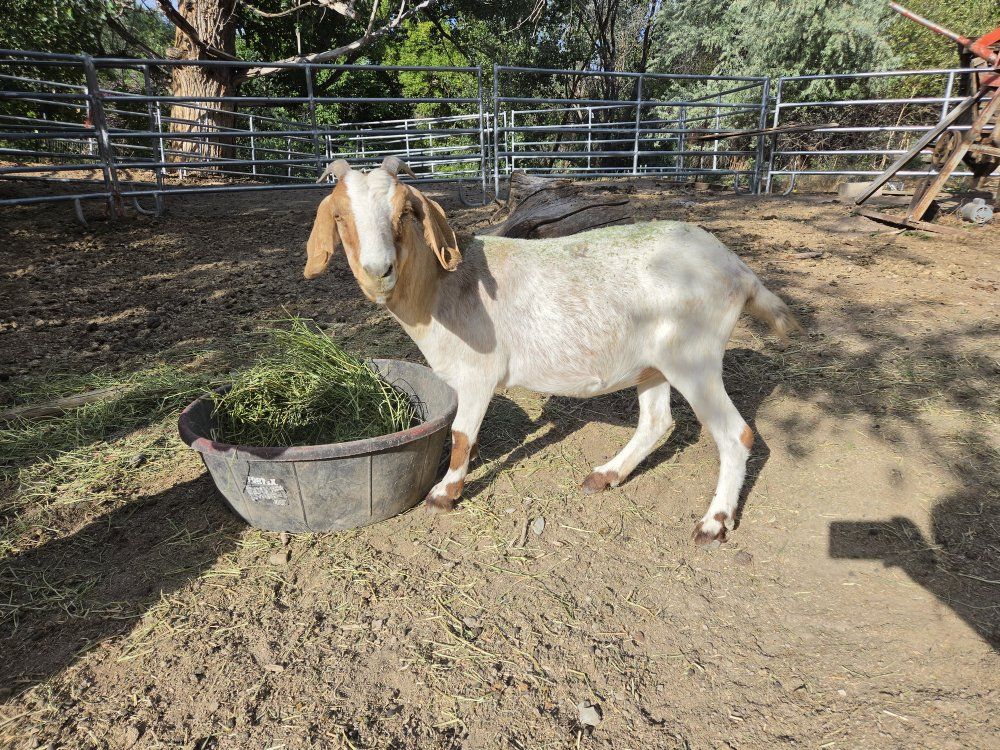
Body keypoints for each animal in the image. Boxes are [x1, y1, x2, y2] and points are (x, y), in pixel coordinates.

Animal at [304, 157, 800, 544]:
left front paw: (444, 494)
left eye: (405, 211)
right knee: (657, 422)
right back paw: (607, 475)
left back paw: (714, 522)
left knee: (736, 434)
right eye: (341, 217)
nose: (378, 270)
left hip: (693, 357)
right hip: (654, 364)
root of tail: (738, 269)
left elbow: (461, 436)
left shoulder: (479, 373)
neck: (443, 290)